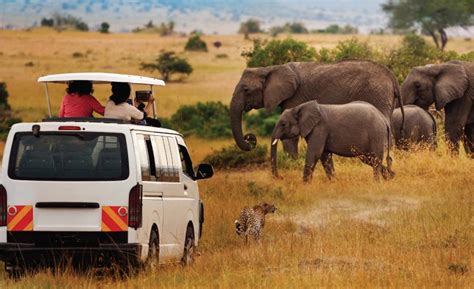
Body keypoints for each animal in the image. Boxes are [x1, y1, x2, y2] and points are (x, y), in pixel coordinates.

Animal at [230, 59, 404, 156]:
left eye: (246, 90)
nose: (250, 138)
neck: (270, 68)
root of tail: (392, 76)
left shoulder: (296, 97)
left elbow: (291, 137)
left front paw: (291, 164)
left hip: (376, 94)